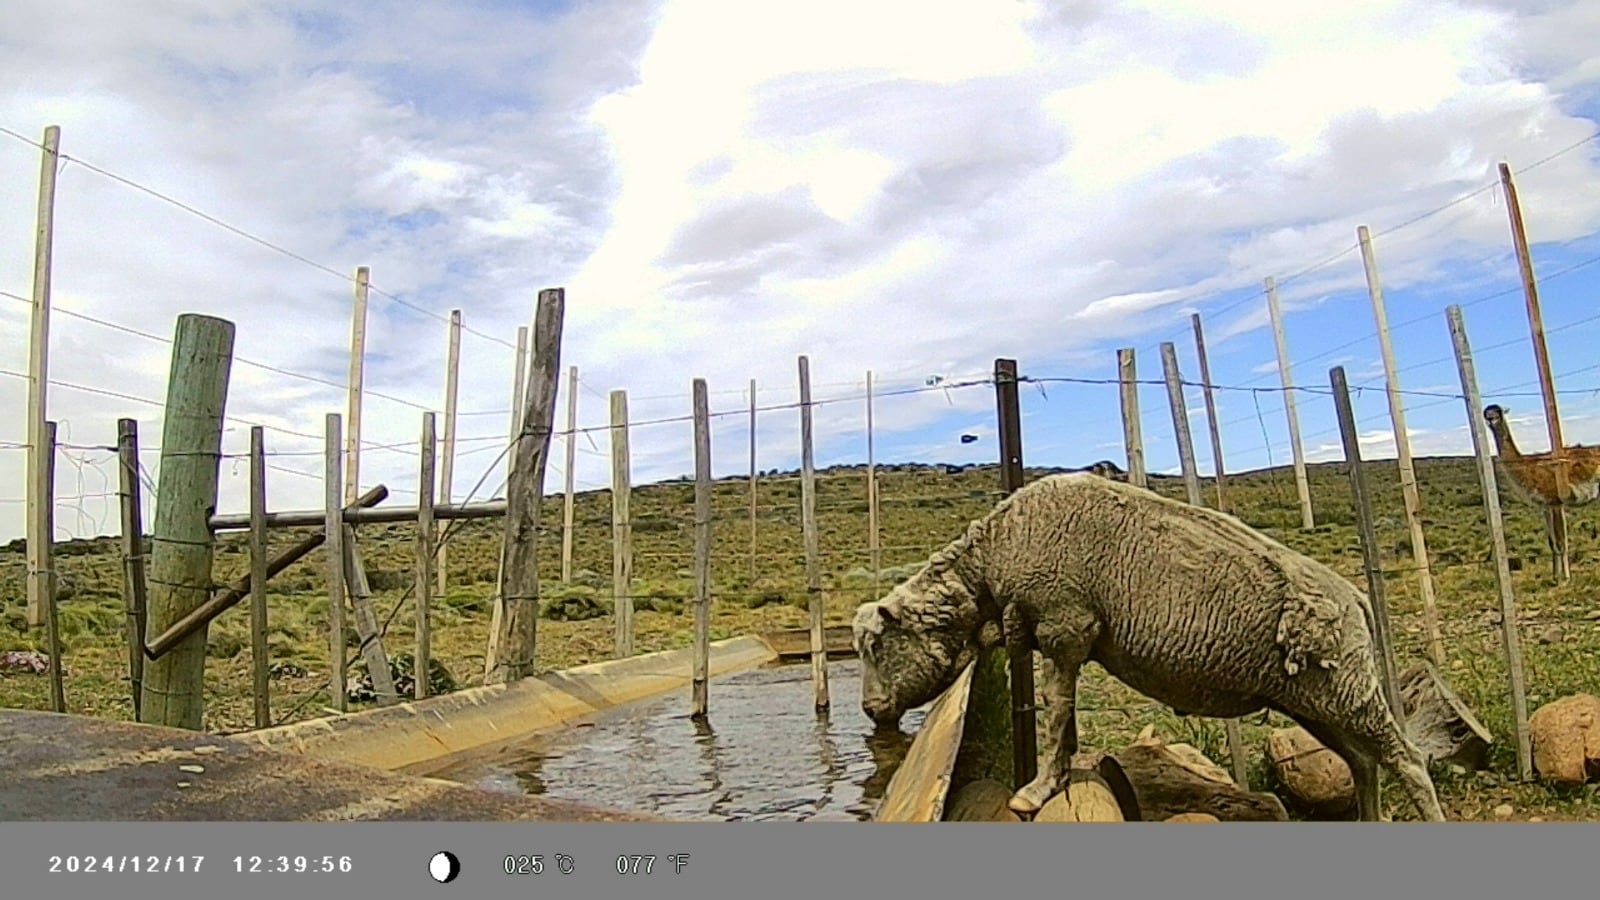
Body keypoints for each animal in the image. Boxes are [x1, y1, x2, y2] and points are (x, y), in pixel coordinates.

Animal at [851, 472, 1446, 822]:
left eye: (877, 647)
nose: (870, 709)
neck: (994, 561)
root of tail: (1356, 598)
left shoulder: (1065, 627)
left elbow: (1056, 714)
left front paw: (1038, 789)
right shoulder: (1065, 639)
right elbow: (1064, 718)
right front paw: (1060, 777)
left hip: (1349, 688)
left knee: (1407, 759)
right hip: (1314, 700)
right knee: (1363, 761)